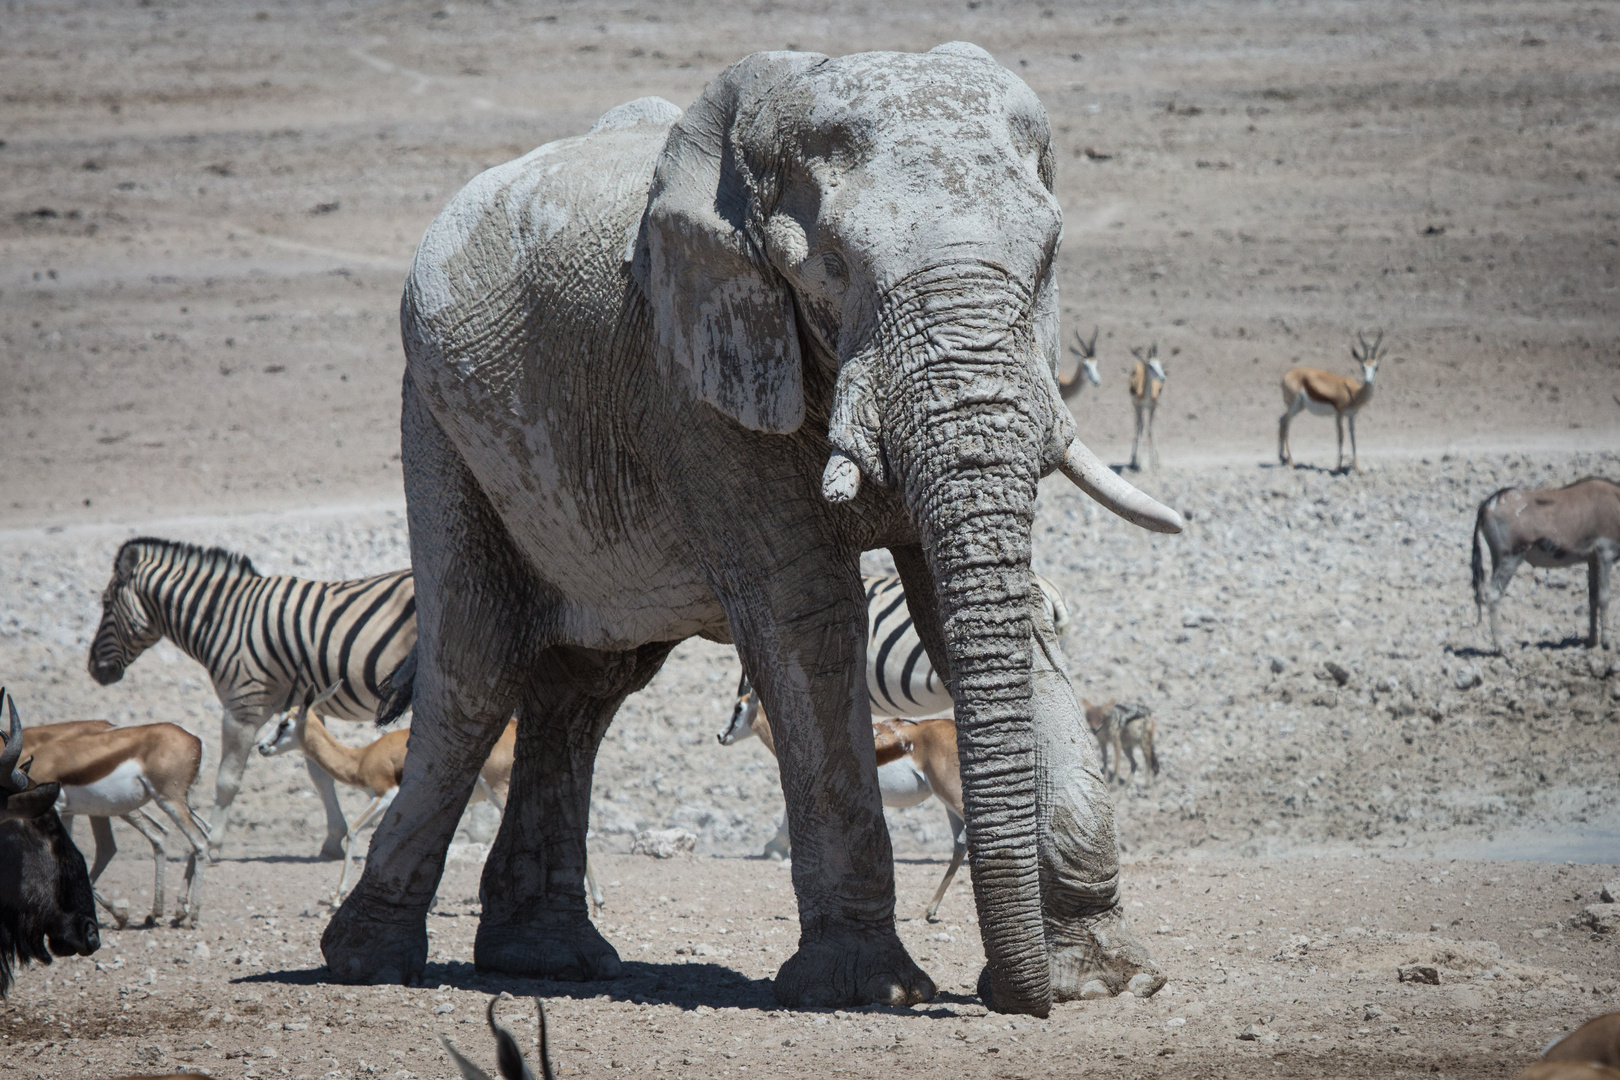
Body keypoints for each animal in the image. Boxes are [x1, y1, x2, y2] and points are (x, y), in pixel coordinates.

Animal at [86, 540, 417, 861]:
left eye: (105, 603)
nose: (92, 670)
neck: (223, 619)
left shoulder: (242, 705)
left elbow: (227, 779)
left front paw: (213, 844)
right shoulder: (307, 705)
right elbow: (320, 774)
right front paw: (332, 840)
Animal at [319, 44, 1179, 1023]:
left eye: (1048, 259)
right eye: (834, 267)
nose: (1007, 995)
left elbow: (991, 609)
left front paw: (1104, 980)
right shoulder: (695, 374)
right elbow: (807, 616)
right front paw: (867, 991)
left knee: (585, 688)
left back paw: (549, 960)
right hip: (434, 420)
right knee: (474, 673)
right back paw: (368, 960)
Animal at [1276, 330, 1380, 472]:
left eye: (1376, 367)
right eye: (1363, 367)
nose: (1368, 382)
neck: (1354, 393)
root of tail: (1286, 375)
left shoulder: (1351, 416)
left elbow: (1353, 438)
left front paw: (1358, 470)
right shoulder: (1339, 414)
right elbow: (1341, 437)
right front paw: (1338, 468)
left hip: (1299, 407)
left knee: (1283, 421)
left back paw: (1283, 458)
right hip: (1294, 405)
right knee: (1285, 423)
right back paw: (1290, 462)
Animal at [1470, 479, 1620, 650]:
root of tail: (1489, 504)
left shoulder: (1593, 560)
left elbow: (1593, 598)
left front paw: (1591, 640)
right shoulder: (1605, 555)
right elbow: (1604, 597)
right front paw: (1607, 642)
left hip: (1498, 559)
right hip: (1510, 559)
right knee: (1493, 594)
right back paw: (1501, 647)